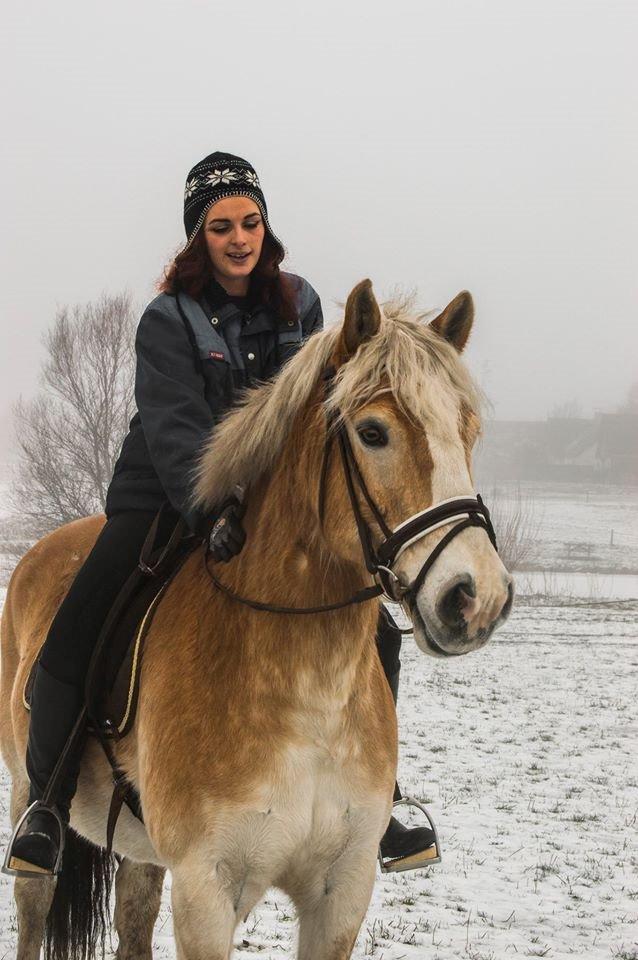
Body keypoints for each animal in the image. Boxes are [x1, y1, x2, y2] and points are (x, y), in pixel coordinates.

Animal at [0, 280, 516, 960]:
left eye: (468, 432)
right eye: (373, 432)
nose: (476, 596)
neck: (307, 694)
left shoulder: (341, 894)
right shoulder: (208, 891)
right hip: (28, 800)